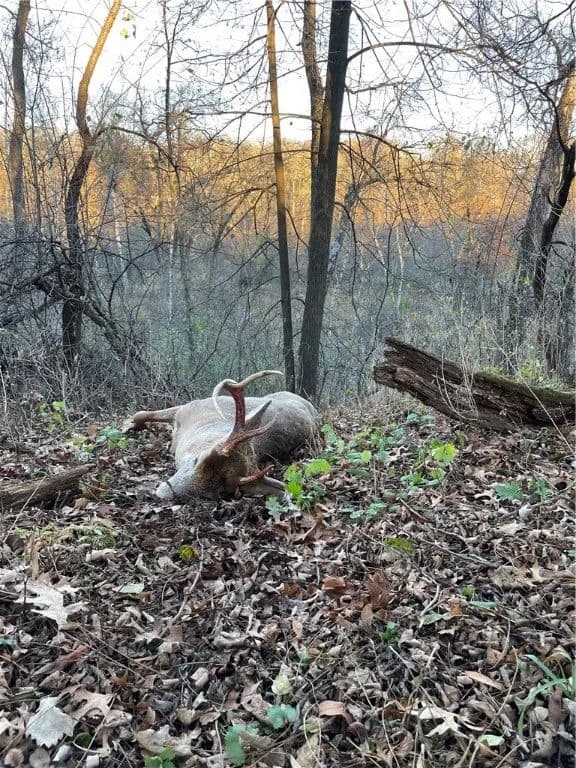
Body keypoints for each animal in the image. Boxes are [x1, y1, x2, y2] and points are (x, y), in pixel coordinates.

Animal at [123, 371, 319, 501]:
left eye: (220, 491)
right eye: (197, 460)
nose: (162, 494)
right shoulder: (188, 407)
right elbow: (140, 413)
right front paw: (127, 425)